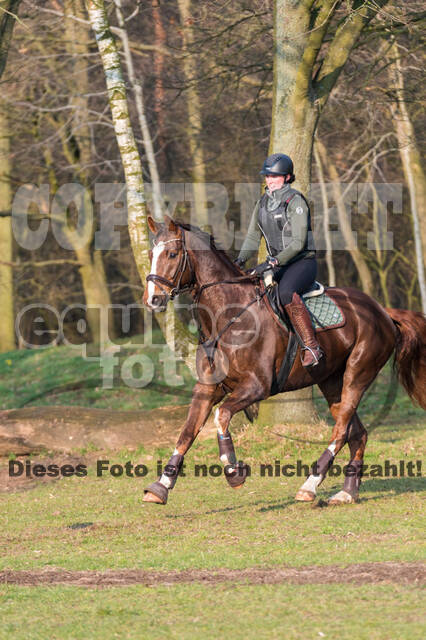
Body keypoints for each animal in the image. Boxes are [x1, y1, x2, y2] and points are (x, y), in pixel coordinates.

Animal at [142, 215, 426, 504]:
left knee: (340, 431)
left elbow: (221, 416)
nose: (152, 300)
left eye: (172, 254)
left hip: (358, 374)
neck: (228, 316)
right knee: (356, 433)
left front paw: (234, 471)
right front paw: (161, 486)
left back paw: (310, 485)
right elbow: (187, 432)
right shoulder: (208, 388)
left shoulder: (257, 386)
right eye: (151, 254)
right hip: (331, 382)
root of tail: (382, 311)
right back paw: (347, 492)